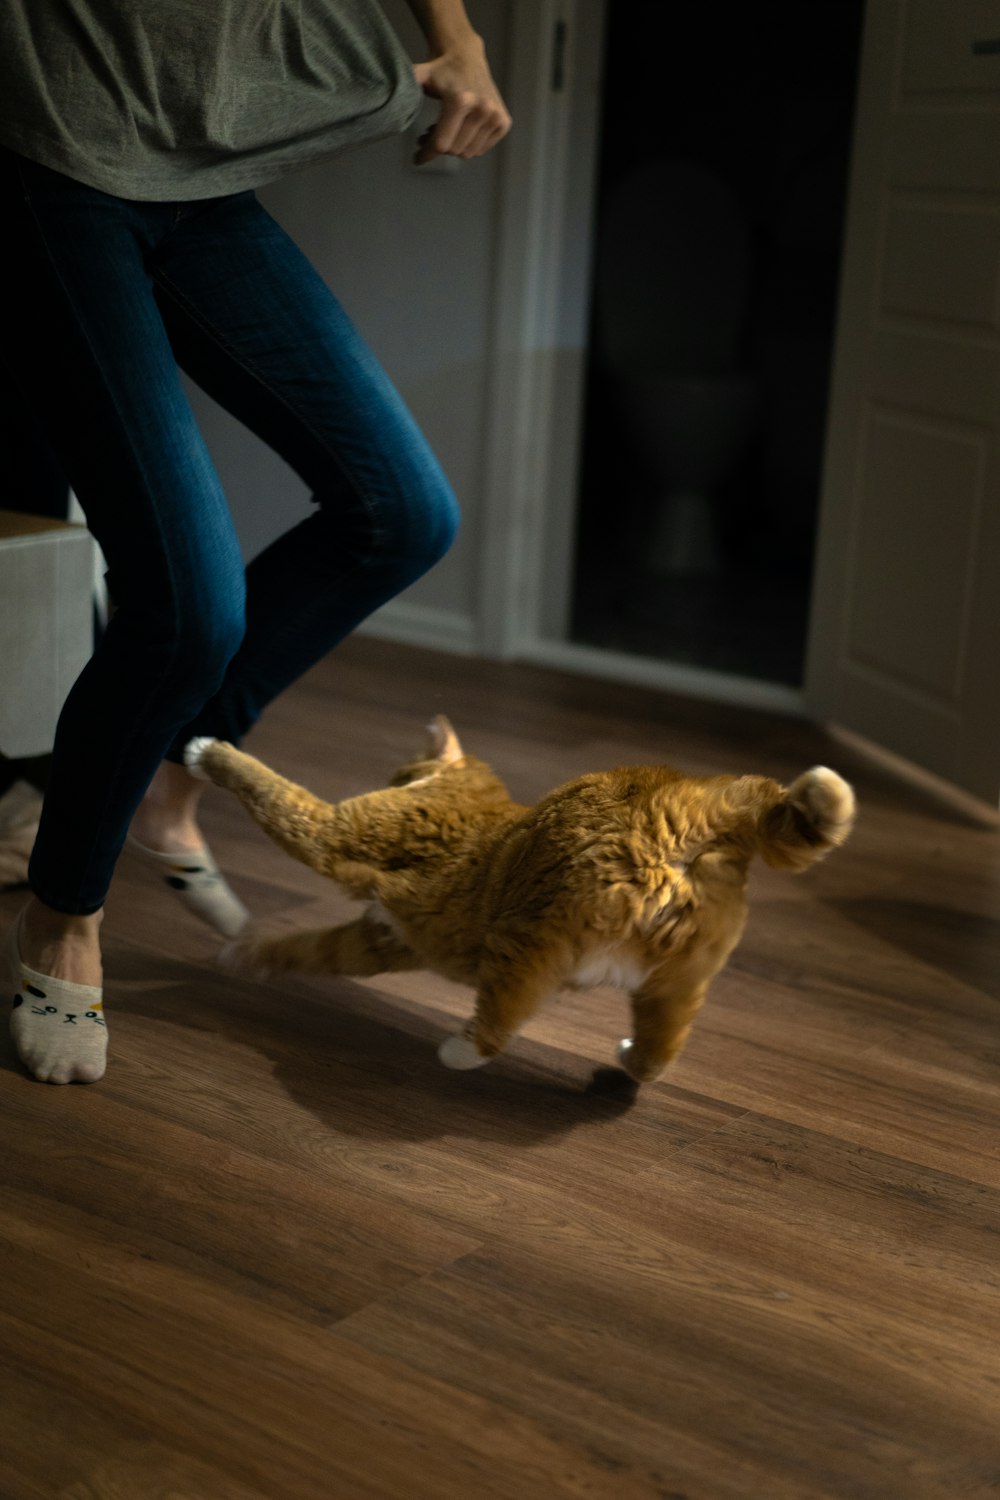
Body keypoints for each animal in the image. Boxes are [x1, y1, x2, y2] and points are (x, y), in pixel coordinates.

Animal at [183, 720, 857, 1086]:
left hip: (533, 934)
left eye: (400, 770)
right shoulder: (382, 936)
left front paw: (207, 751)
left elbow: (270, 789)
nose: (393, 773)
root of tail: (687, 808)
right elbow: (306, 948)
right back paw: (632, 1059)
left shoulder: (335, 836)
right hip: (677, 979)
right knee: (662, 1045)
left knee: (504, 1012)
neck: (467, 788)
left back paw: (459, 1051)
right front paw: (244, 956)